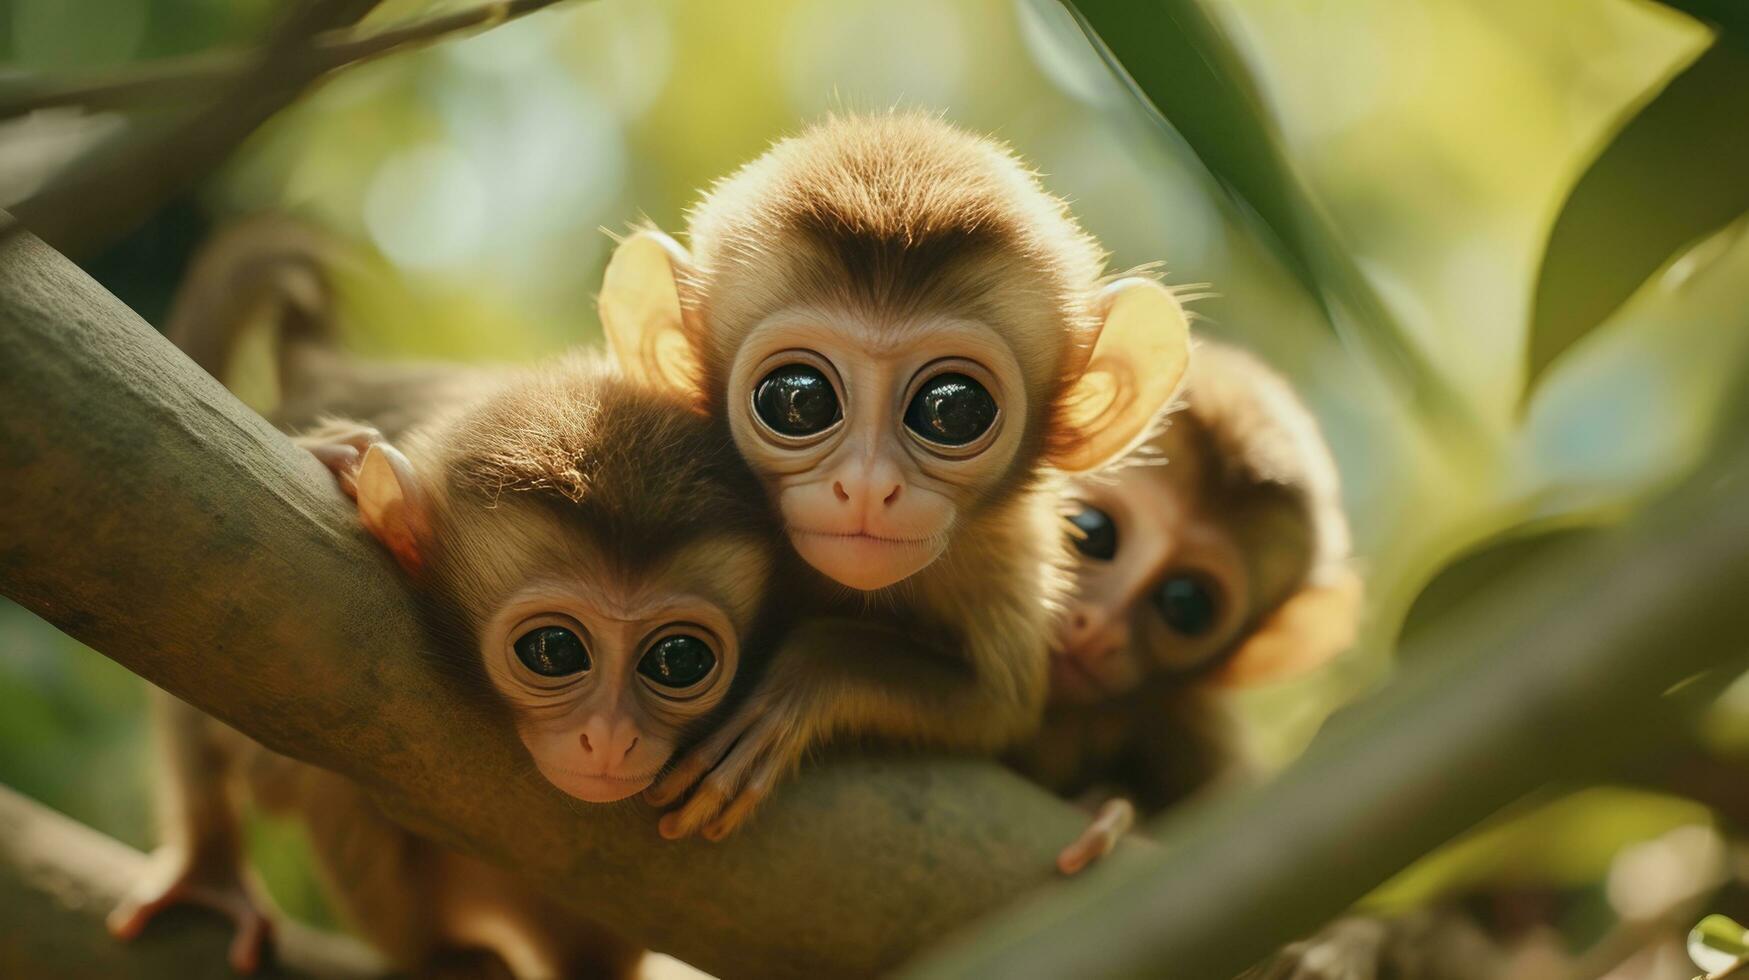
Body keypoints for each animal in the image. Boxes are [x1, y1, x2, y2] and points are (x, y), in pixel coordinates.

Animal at [598, 111, 1189, 840]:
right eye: (797, 398)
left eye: (953, 409)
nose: (867, 485)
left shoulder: (1003, 563)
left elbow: (999, 706)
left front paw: (812, 674)